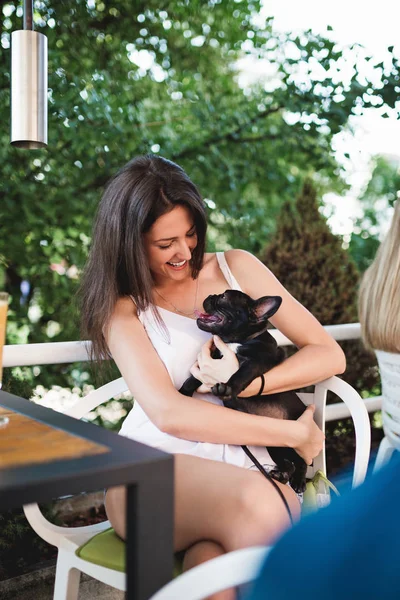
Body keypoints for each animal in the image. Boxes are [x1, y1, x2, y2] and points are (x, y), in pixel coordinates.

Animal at [180, 290, 308, 492]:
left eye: (224, 297)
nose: (211, 295)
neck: (236, 341)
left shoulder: (254, 363)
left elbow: (240, 374)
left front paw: (228, 387)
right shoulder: (212, 361)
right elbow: (193, 378)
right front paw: (183, 391)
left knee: (302, 461)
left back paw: (298, 481)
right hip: (274, 445)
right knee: (289, 463)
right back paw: (281, 475)